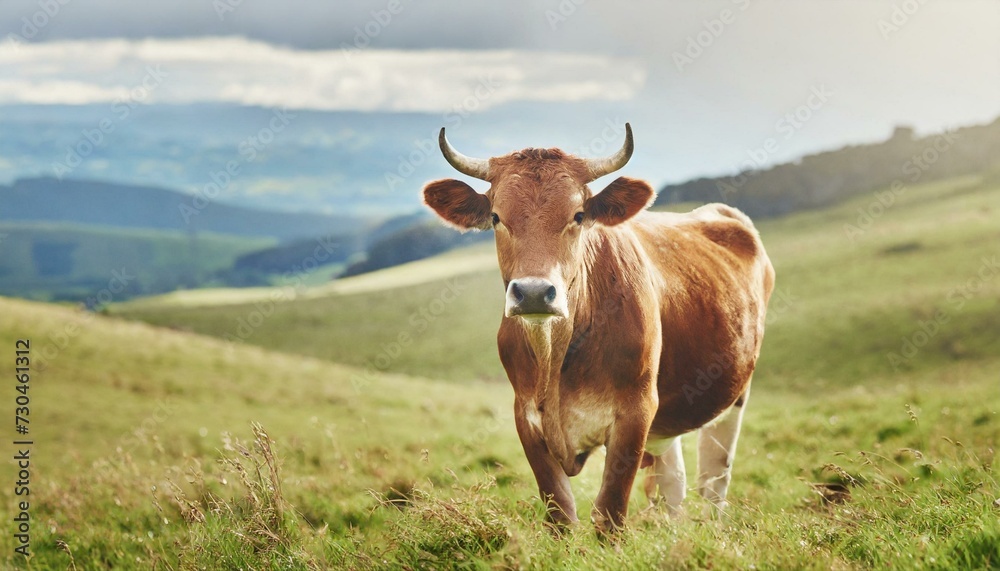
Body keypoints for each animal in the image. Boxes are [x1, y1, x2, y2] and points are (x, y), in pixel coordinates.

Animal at [420, 124, 772, 536]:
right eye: (495, 216)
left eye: (578, 214)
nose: (534, 292)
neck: (555, 355)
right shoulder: (525, 415)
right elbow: (560, 512)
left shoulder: (636, 411)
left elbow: (610, 512)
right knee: (674, 481)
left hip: (734, 395)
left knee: (714, 479)